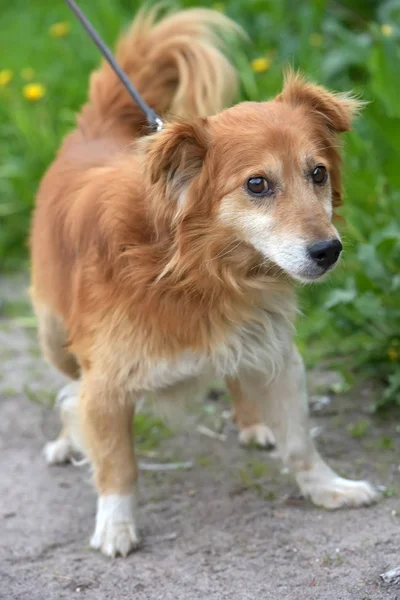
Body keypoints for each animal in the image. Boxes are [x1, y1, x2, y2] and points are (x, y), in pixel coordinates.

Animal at [29, 7, 376, 556]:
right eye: (257, 184)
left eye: (318, 173)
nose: (329, 251)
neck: (198, 271)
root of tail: (94, 132)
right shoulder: (105, 385)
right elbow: (117, 463)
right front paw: (115, 526)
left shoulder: (279, 356)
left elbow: (301, 441)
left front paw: (328, 488)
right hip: (53, 335)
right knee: (67, 388)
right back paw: (66, 440)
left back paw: (254, 423)